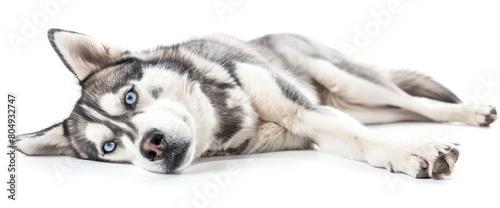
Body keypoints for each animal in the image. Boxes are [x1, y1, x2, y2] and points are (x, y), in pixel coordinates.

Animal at [15, 28, 496, 179]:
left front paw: (410, 150)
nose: (151, 145)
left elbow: (367, 143)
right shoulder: (317, 130)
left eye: (130, 97)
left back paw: (468, 113)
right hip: (361, 105)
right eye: (110, 147)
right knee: (402, 110)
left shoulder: (305, 112)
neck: (225, 119)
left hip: (351, 84)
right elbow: (360, 141)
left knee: (416, 103)